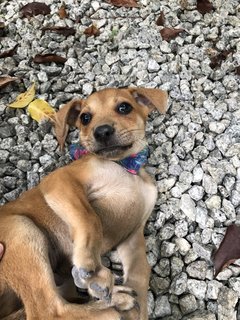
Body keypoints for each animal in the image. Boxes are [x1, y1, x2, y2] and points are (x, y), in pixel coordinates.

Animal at [0, 87, 167, 320]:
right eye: (85, 118)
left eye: (124, 107)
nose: (102, 132)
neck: (125, 167)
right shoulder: (60, 181)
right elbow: (90, 218)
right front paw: (92, 267)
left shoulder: (133, 235)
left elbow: (141, 271)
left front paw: (139, 309)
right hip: (22, 230)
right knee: (49, 311)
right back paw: (113, 305)